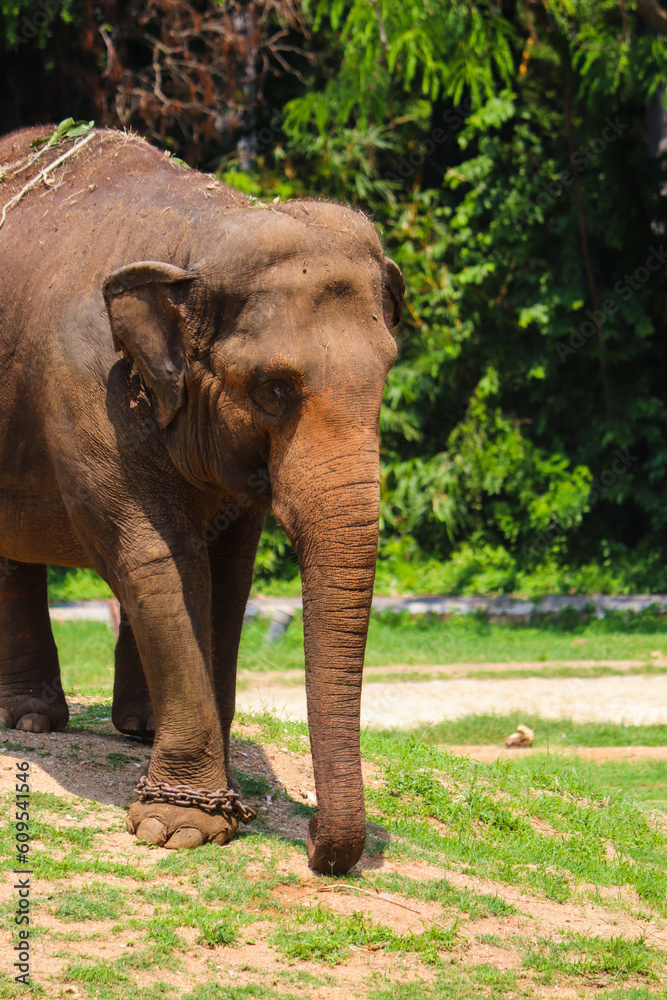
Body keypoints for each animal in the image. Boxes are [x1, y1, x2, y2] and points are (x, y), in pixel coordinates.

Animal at [0, 124, 403, 874]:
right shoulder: (90, 390)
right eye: (274, 388)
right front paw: (182, 826)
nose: (311, 837)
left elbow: (226, 571)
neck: (197, 238)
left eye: (387, 374)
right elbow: (158, 558)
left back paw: (126, 726)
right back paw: (30, 722)